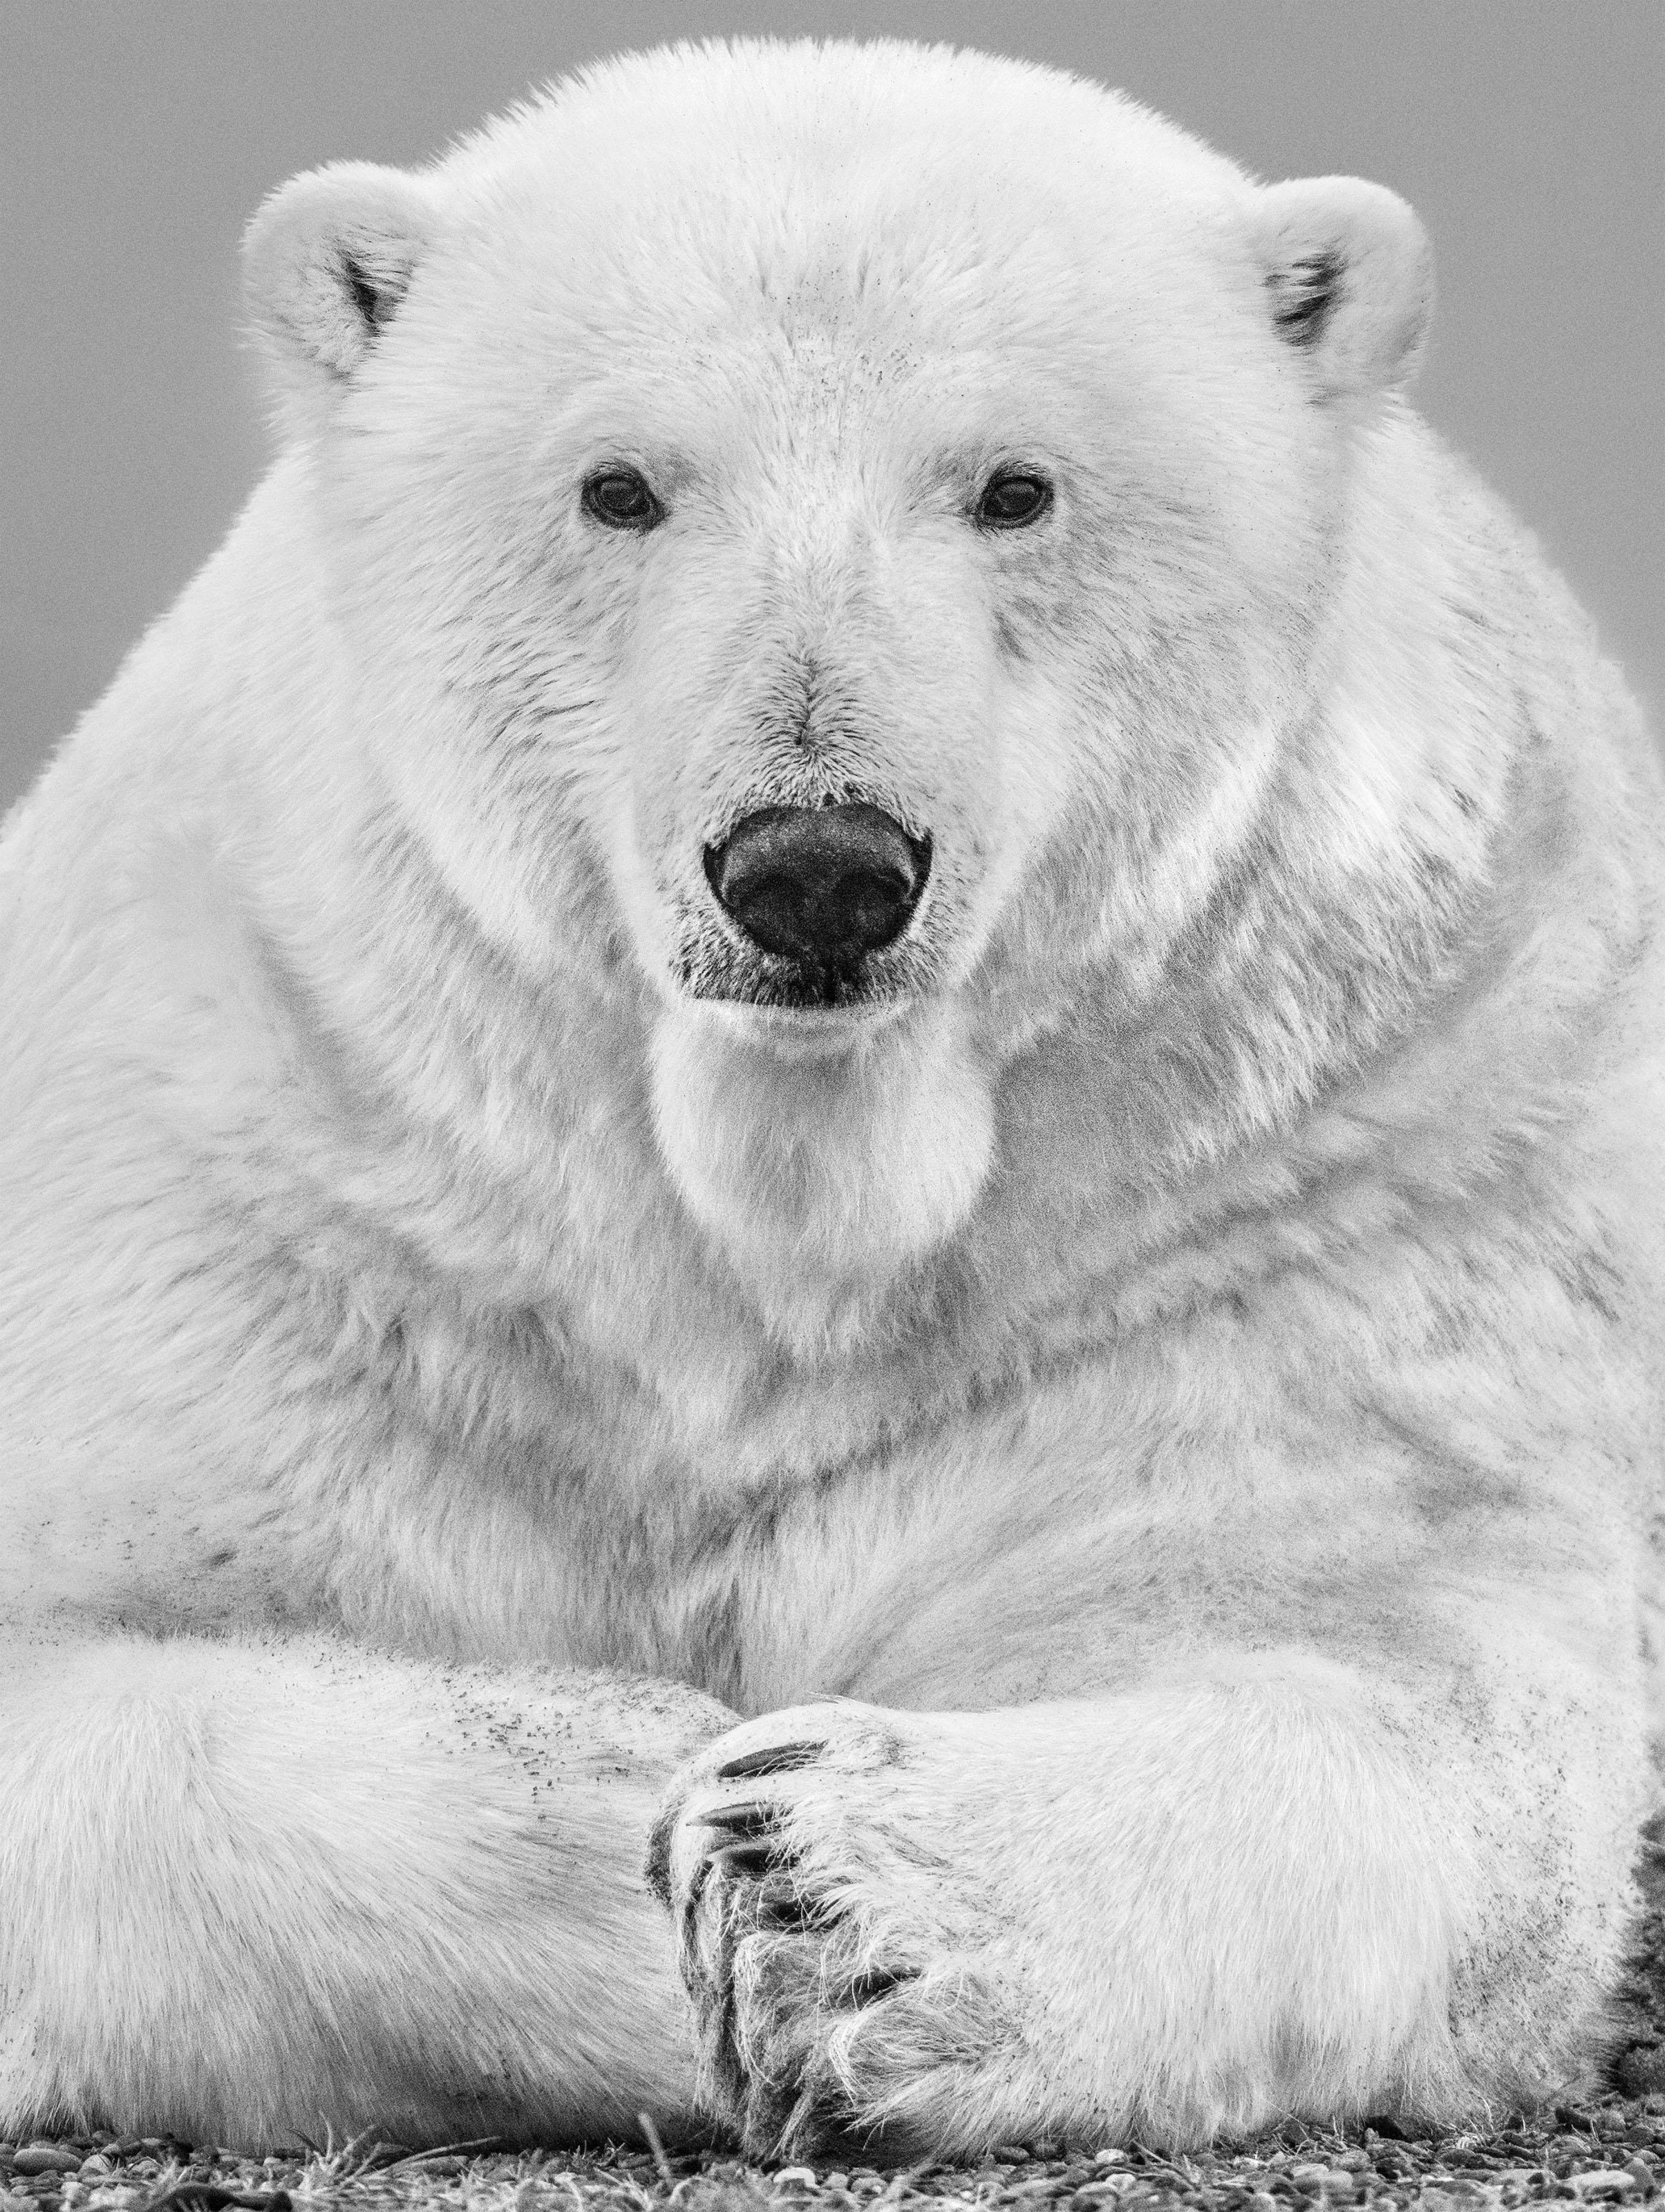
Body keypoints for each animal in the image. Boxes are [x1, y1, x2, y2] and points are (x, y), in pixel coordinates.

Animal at [2, 29, 1663, 2163]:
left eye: (1014, 486)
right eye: (619, 485)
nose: (813, 868)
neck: (791, 1192)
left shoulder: (1313, 1188)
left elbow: (1399, 1693)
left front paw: (812, 1882)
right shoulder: (284, 1168)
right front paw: (631, 1771)